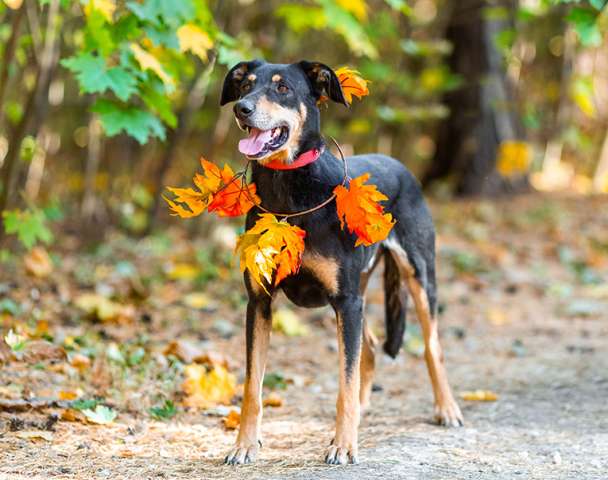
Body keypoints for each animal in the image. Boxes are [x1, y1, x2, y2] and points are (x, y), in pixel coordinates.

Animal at [221, 59, 464, 464]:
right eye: (245, 86)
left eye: (282, 88)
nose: (243, 110)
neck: (289, 195)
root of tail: (399, 163)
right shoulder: (260, 302)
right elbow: (252, 387)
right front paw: (243, 445)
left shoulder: (345, 302)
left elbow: (344, 384)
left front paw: (343, 445)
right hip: (359, 293)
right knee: (369, 346)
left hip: (416, 275)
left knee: (433, 347)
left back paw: (446, 408)